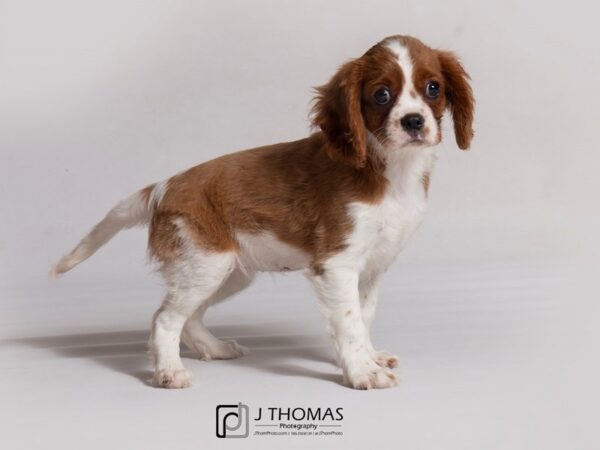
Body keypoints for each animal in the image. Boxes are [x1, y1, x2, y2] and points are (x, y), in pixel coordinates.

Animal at [51, 35, 474, 388]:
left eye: (433, 88)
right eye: (382, 95)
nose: (414, 121)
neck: (390, 169)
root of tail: (162, 187)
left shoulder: (373, 266)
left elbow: (364, 314)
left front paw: (371, 357)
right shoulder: (337, 263)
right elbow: (349, 321)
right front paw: (361, 372)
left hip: (227, 272)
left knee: (189, 317)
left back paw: (215, 349)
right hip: (206, 264)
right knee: (165, 319)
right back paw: (170, 372)